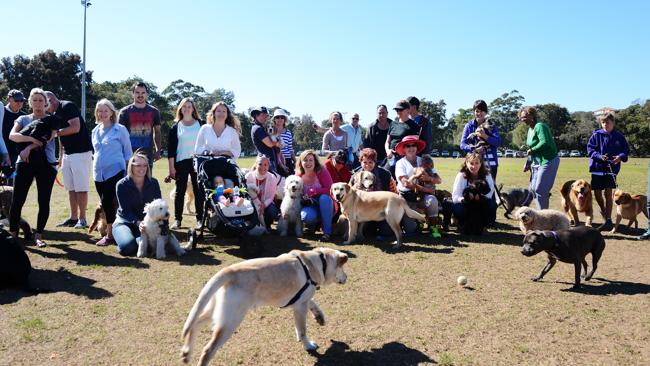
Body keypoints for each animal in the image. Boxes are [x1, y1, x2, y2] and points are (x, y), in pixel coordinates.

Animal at [180, 247, 346, 364]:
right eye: (343, 269)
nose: (347, 277)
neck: (318, 262)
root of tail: (228, 271)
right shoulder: (300, 306)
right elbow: (302, 330)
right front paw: (308, 345)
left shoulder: (301, 300)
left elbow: (312, 304)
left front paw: (320, 317)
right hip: (231, 320)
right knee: (208, 350)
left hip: (217, 311)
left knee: (195, 323)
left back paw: (186, 353)